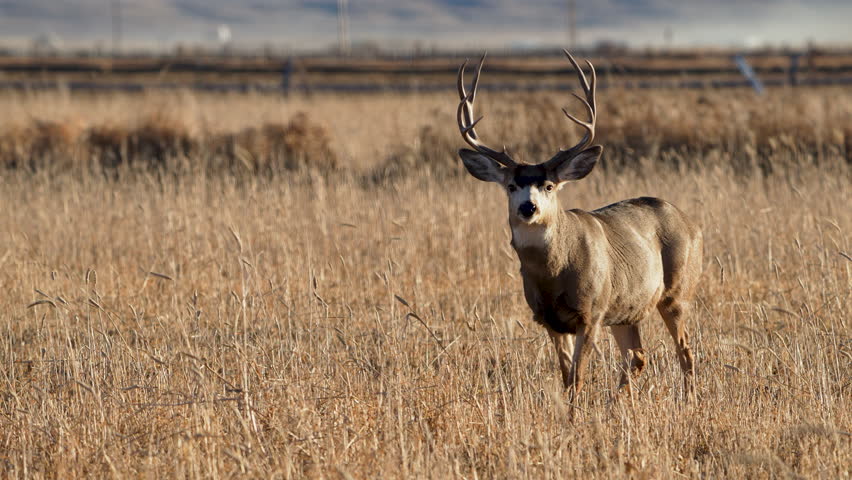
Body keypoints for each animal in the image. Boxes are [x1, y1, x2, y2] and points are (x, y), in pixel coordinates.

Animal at [455, 51, 702, 399]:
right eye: (511, 186)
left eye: (549, 186)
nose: (528, 207)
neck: (555, 273)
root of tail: (690, 223)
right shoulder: (549, 320)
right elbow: (565, 376)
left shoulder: (591, 313)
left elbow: (578, 378)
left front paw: (575, 413)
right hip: (626, 310)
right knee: (637, 356)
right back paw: (617, 404)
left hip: (677, 292)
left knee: (686, 351)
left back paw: (689, 400)